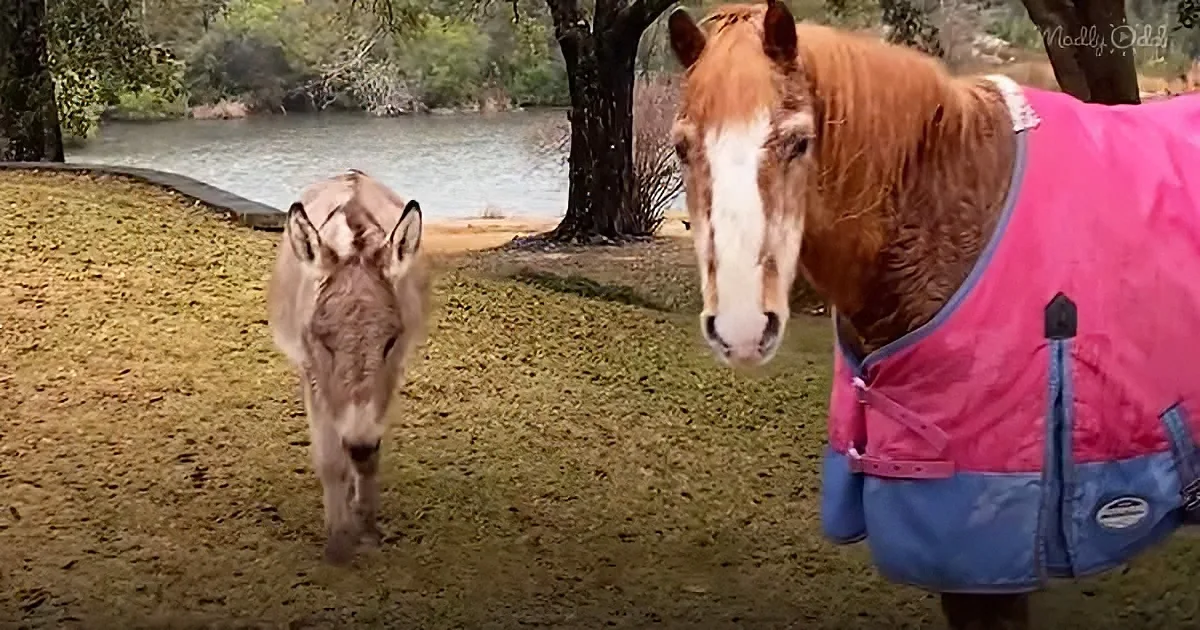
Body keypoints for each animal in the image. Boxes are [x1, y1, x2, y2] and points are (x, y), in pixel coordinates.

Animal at [266, 169, 431, 565]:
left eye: (390, 341)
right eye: (324, 342)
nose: (359, 443)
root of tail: (352, 173)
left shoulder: (392, 372)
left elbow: (369, 460)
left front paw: (366, 529)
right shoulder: (313, 374)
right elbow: (330, 460)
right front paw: (339, 543)